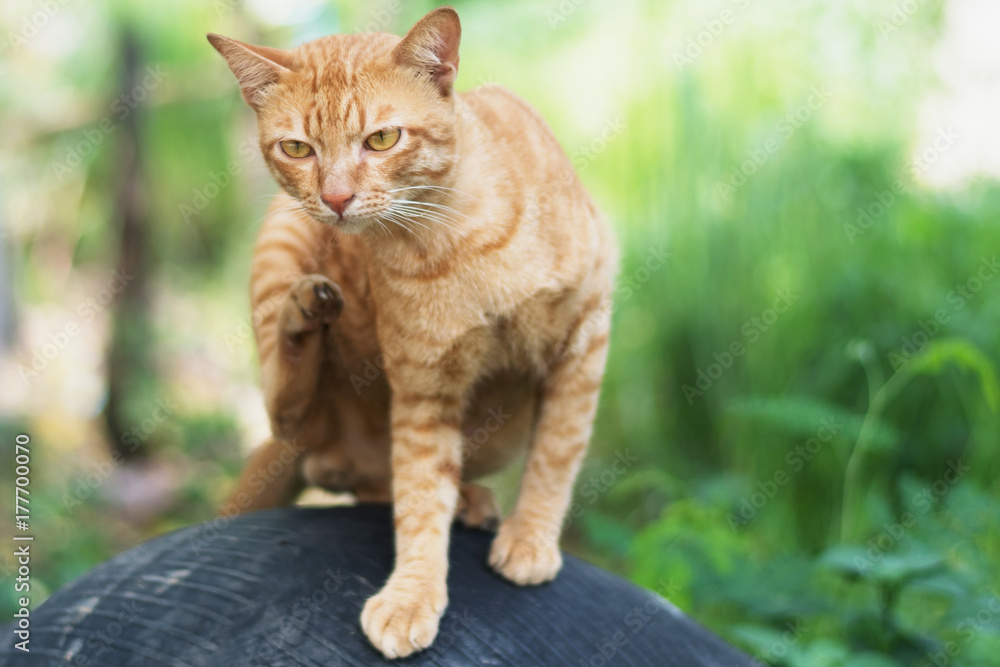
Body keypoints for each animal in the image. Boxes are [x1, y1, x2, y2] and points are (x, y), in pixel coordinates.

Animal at [210, 7, 612, 660]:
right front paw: (412, 596)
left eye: (381, 139)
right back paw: (307, 309)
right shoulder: (424, 390)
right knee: (289, 414)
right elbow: (421, 498)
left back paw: (471, 501)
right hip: (282, 238)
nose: (336, 198)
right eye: (297, 148)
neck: (454, 238)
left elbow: (557, 453)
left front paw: (531, 537)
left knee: (369, 482)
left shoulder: (585, 335)